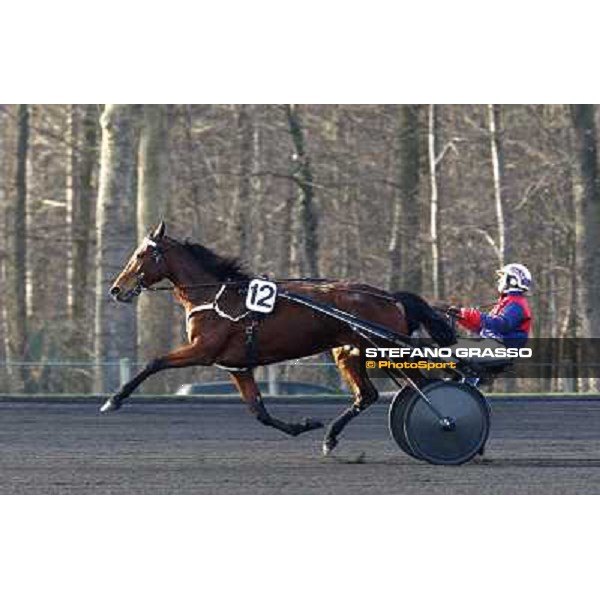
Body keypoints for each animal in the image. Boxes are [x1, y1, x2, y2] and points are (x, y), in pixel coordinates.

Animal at [103, 221, 454, 454]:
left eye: (141, 255)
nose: (116, 289)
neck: (216, 297)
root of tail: (390, 297)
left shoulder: (203, 350)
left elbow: (154, 362)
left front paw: (114, 399)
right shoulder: (237, 366)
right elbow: (260, 412)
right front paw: (305, 426)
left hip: (387, 350)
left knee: (426, 387)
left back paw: (448, 426)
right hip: (351, 351)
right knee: (367, 395)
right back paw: (330, 437)